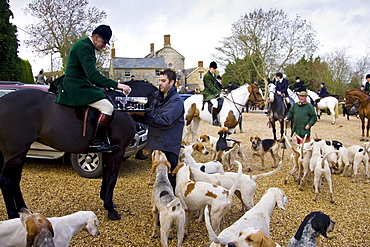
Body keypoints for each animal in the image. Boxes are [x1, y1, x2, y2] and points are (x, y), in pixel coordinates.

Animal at [0, 79, 158, 220]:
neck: (122, 106)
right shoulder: (117, 152)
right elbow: (112, 179)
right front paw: (110, 210)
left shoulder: (108, 152)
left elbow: (106, 177)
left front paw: (107, 201)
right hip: (14, 151)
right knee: (7, 181)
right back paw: (13, 215)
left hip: (20, 151)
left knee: (14, 179)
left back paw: (24, 210)